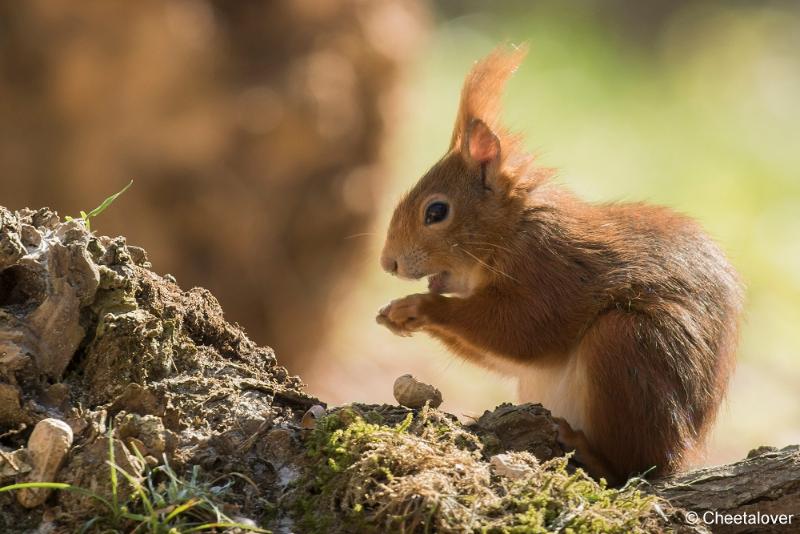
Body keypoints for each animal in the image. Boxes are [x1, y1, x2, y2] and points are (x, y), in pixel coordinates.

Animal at [376, 46, 744, 486]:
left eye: (436, 212)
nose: (388, 262)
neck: (512, 229)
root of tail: (684, 453)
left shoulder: (551, 268)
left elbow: (522, 331)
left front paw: (417, 307)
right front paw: (393, 314)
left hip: (629, 344)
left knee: (634, 465)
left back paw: (588, 450)